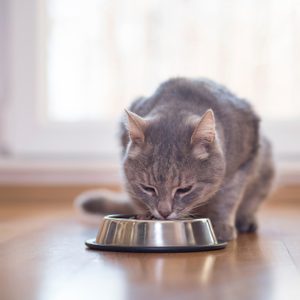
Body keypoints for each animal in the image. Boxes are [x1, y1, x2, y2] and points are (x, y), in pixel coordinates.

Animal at [76, 77, 276, 241]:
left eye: (185, 189)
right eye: (148, 188)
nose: (164, 212)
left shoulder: (242, 166)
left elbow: (227, 198)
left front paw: (220, 226)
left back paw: (246, 220)